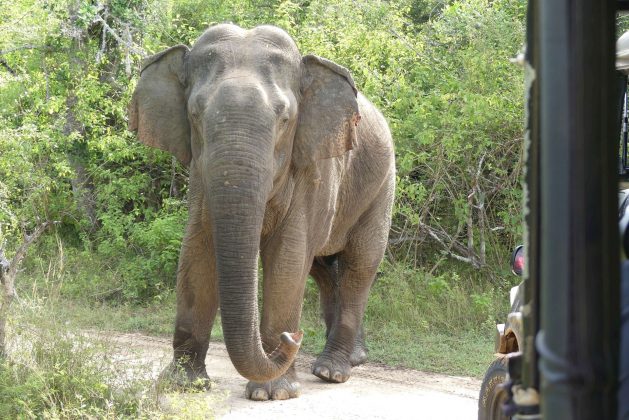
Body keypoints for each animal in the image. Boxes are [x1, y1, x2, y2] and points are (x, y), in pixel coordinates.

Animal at [127, 22, 392, 400]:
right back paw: (351, 359)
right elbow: (197, 253)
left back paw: (332, 371)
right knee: (325, 271)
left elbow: (287, 260)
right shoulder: (201, 179)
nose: (293, 337)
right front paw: (184, 385)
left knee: (360, 265)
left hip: (380, 187)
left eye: (285, 119)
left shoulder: (310, 168)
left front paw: (273, 394)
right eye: (194, 115)